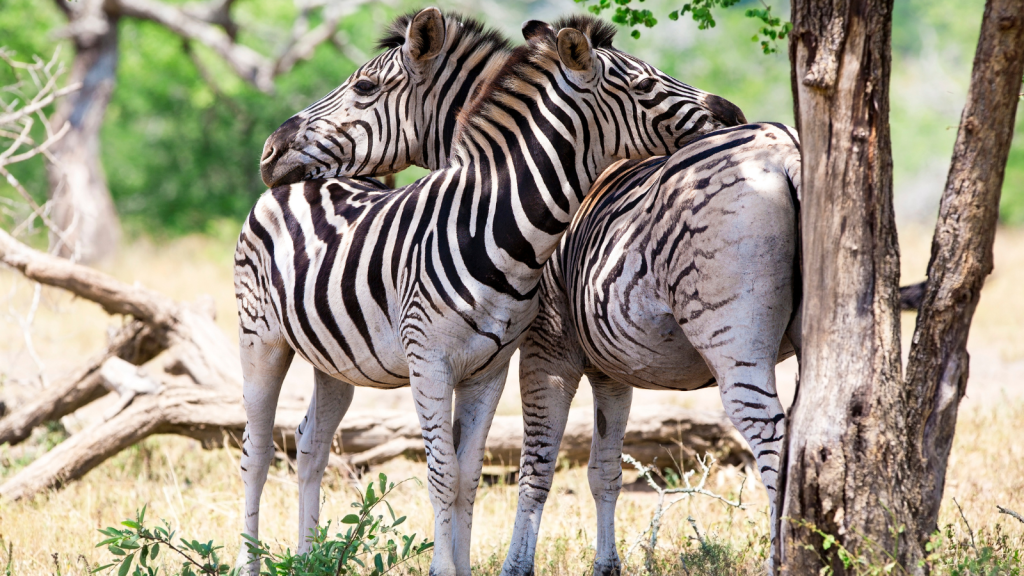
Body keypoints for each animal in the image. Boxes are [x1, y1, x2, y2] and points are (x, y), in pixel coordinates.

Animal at [235, 10, 745, 576]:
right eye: (642, 83)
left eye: (364, 86)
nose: (269, 152)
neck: (489, 226)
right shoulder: (466, 360)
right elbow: (472, 474)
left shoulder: (498, 366)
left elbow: (475, 475)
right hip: (261, 340)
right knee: (257, 451)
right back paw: (252, 561)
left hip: (336, 360)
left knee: (309, 444)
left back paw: (309, 559)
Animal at [501, 123, 803, 576]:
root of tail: (785, 152)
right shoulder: (611, 370)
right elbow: (604, 470)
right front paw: (606, 566)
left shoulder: (547, 349)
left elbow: (535, 470)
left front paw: (516, 566)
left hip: (733, 343)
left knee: (774, 440)